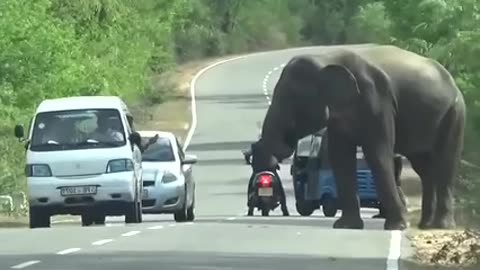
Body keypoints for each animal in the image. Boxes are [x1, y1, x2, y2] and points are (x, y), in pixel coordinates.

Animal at [258, 43, 464, 230]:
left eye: (292, 99)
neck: (326, 58)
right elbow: (340, 157)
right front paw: (346, 226)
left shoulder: (378, 102)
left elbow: (378, 154)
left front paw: (397, 226)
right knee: (424, 168)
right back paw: (425, 225)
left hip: (454, 113)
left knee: (444, 164)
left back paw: (441, 226)